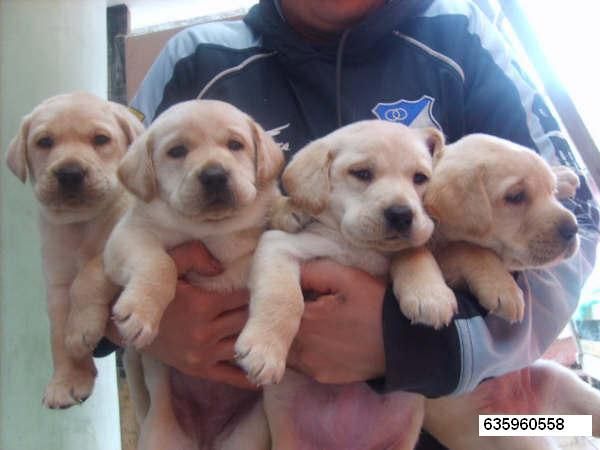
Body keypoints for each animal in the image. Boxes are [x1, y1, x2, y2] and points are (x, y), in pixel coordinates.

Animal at [4, 91, 142, 408]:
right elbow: (56, 333)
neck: (81, 224)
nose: (69, 173)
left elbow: (88, 276)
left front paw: (80, 330)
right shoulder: (57, 281)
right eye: (44, 142)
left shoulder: (119, 246)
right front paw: (67, 380)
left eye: (101, 139)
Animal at [105, 99, 284, 450]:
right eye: (177, 151)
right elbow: (160, 263)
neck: (210, 231)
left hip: (246, 436)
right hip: (161, 436)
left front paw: (266, 351)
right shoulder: (127, 237)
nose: (215, 175)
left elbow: (276, 293)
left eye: (235, 145)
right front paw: (140, 314)